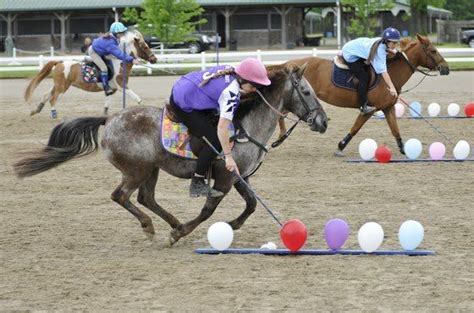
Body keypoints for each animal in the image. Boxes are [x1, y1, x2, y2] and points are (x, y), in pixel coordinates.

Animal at [13, 62, 326, 244]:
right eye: (307, 92)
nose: (323, 121)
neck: (244, 126)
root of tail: (110, 119)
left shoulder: (239, 176)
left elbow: (251, 204)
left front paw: (232, 224)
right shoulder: (224, 178)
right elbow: (208, 209)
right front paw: (181, 232)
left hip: (151, 169)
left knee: (146, 198)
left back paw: (169, 221)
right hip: (136, 170)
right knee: (121, 196)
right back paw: (153, 226)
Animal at [24, 30, 157, 118]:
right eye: (145, 47)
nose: (154, 59)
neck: (119, 63)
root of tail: (60, 62)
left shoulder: (112, 89)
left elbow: (107, 102)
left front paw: (105, 114)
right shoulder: (122, 86)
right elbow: (138, 98)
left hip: (57, 85)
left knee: (46, 95)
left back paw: (36, 110)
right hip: (62, 87)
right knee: (53, 99)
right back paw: (54, 114)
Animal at [282, 34, 448, 155]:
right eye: (433, 50)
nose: (446, 68)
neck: (389, 75)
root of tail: (289, 64)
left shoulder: (388, 108)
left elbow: (395, 129)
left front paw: (404, 150)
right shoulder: (369, 110)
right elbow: (356, 128)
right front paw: (341, 146)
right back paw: (281, 136)